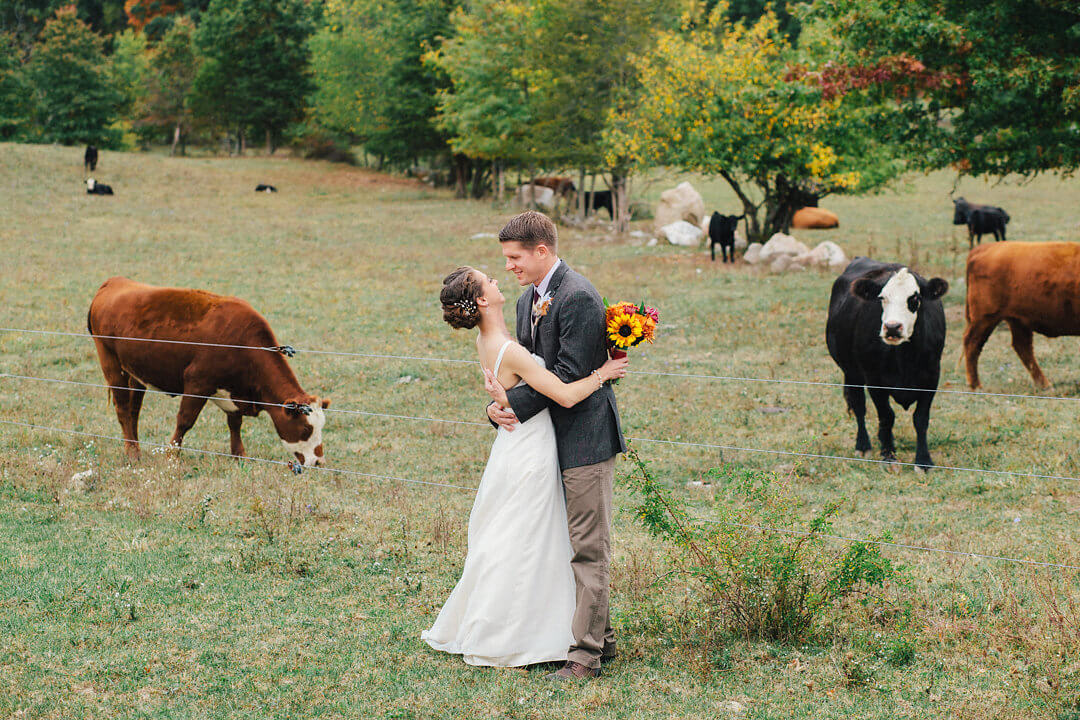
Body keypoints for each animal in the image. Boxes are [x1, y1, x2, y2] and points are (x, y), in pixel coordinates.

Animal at [88, 276, 328, 468]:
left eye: (321, 427)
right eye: (305, 429)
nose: (318, 462)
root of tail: (114, 282)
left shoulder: (232, 392)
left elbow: (235, 423)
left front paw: (239, 456)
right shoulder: (197, 382)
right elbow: (185, 420)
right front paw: (172, 456)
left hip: (136, 373)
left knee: (133, 410)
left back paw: (135, 448)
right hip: (110, 362)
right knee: (122, 407)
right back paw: (132, 453)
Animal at [825, 259, 946, 472]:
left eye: (915, 299)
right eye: (882, 298)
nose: (892, 327)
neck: (905, 359)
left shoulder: (932, 377)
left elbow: (921, 419)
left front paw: (923, 461)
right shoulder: (874, 379)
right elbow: (887, 416)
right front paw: (888, 455)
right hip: (851, 372)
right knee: (859, 406)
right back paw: (863, 445)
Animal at [963, 240, 1080, 388]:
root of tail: (986, 247)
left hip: (1016, 320)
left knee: (1022, 347)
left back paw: (1044, 384)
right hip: (985, 318)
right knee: (972, 344)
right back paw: (976, 385)